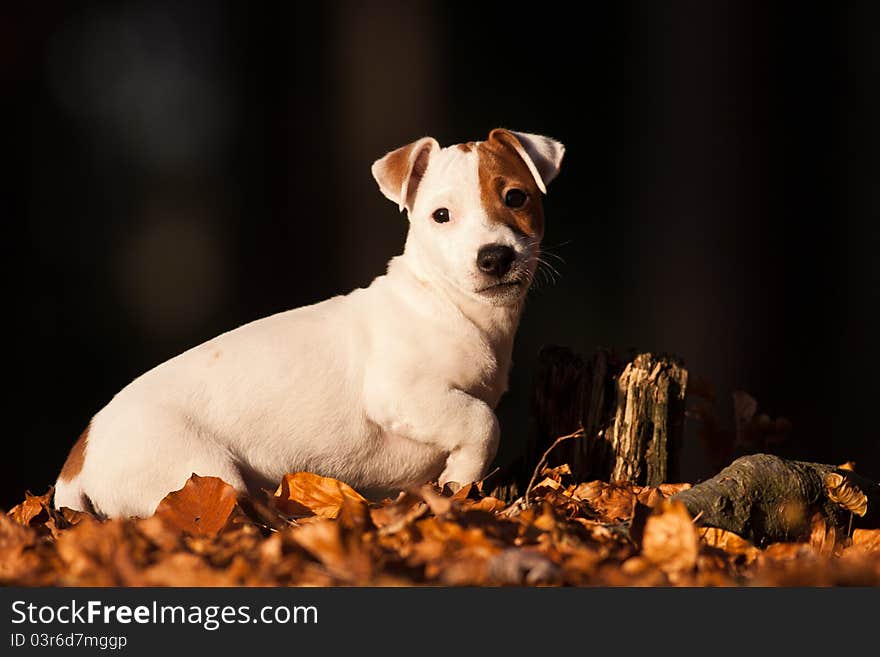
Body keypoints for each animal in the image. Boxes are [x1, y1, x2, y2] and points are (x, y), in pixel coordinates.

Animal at [53, 128, 564, 516]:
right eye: (442, 216)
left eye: (515, 198)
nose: (495, 257)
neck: (450, 305)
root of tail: (79, 457)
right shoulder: (401, 394)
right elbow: (482, 422)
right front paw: (460, 479)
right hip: (198, 469)